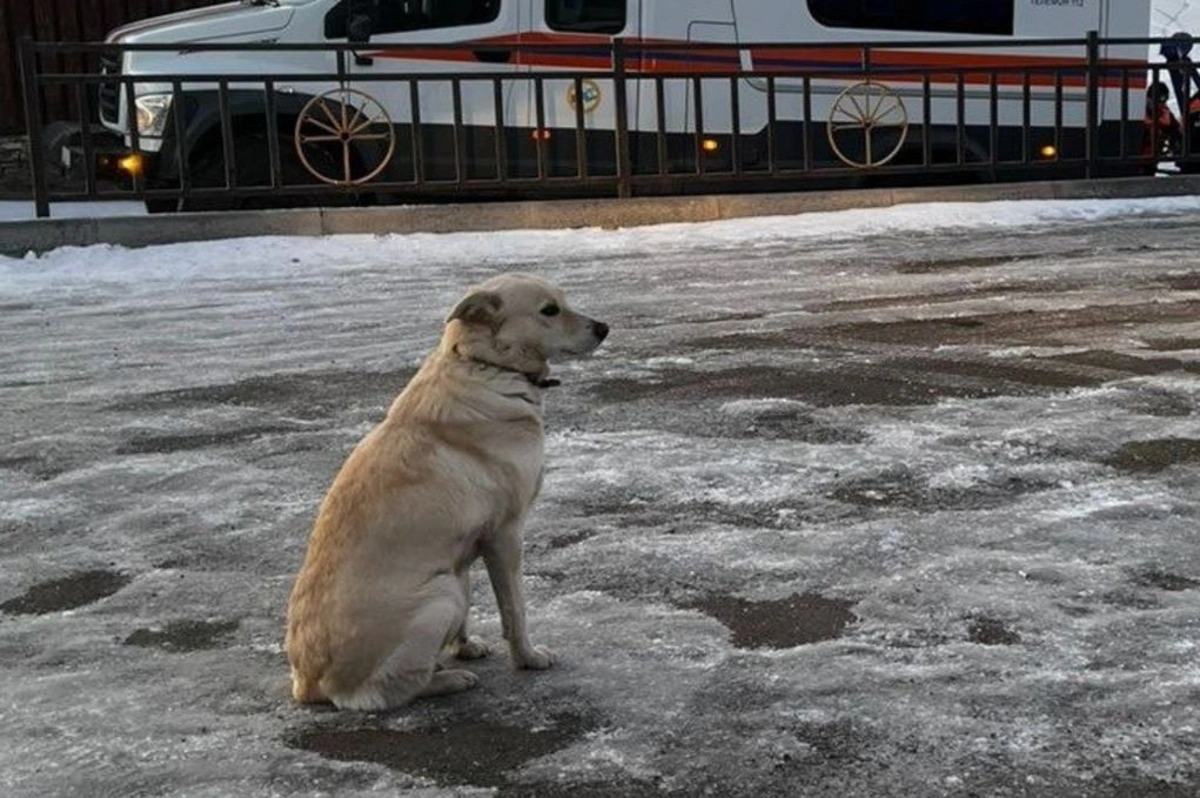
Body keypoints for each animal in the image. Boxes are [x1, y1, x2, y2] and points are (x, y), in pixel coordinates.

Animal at [283, 272, 609, 710]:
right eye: (549, 310)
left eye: (564, 301)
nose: (604, 328)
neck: (486, 365)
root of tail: (309, 684)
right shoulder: (506, 534)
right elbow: (515, 610)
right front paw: (527, 657)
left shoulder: (464, 548)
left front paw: (465, 646)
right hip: (442, 594)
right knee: (384, 692)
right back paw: (448, 680)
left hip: (449, 582)